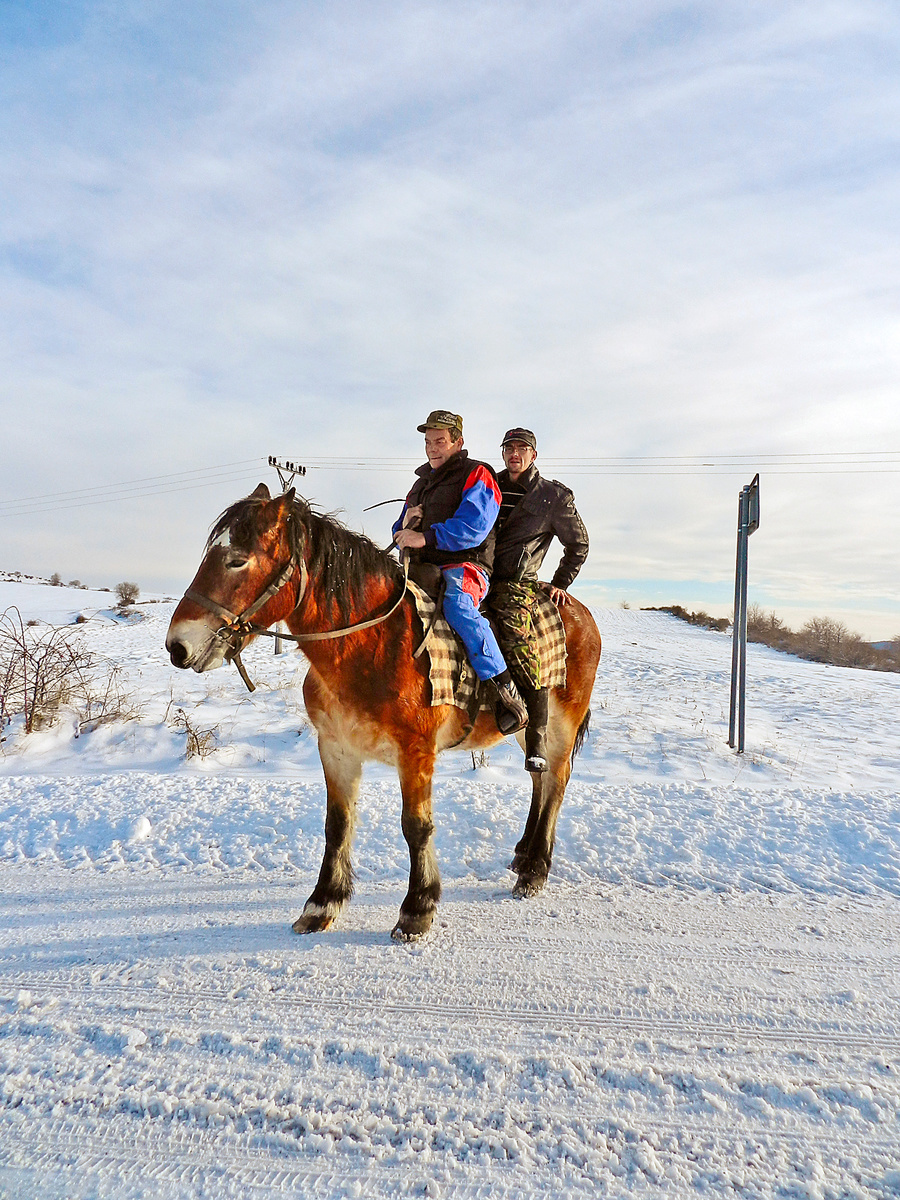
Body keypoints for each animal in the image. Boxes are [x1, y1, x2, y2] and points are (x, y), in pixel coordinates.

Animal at [165, 482, 602, 940]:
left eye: (237, 560)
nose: (176, 646)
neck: (372, 644)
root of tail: (579, 611)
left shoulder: (416, 753)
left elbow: (416, 826)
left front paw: (417, 908)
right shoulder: (335, 749)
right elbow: (337, 824)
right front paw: (323, 903)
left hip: (562, 724)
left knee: (555, 781)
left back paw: (535, 869)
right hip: (529, 729)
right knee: (539, 778)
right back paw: (522, 856)